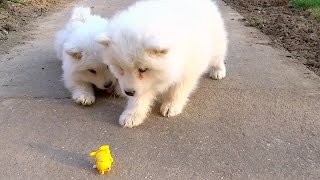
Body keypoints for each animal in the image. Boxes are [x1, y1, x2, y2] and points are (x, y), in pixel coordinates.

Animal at [97, 0, 228, 127]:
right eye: (120, 68)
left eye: (143, 69)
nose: (128, 92)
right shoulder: (144, 83)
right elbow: (139, 95)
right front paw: (132, 114)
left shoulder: (188, 69)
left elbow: (178, 89)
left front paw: (171, 105)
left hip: (216, 42)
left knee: (218, 57)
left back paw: (218, 71)